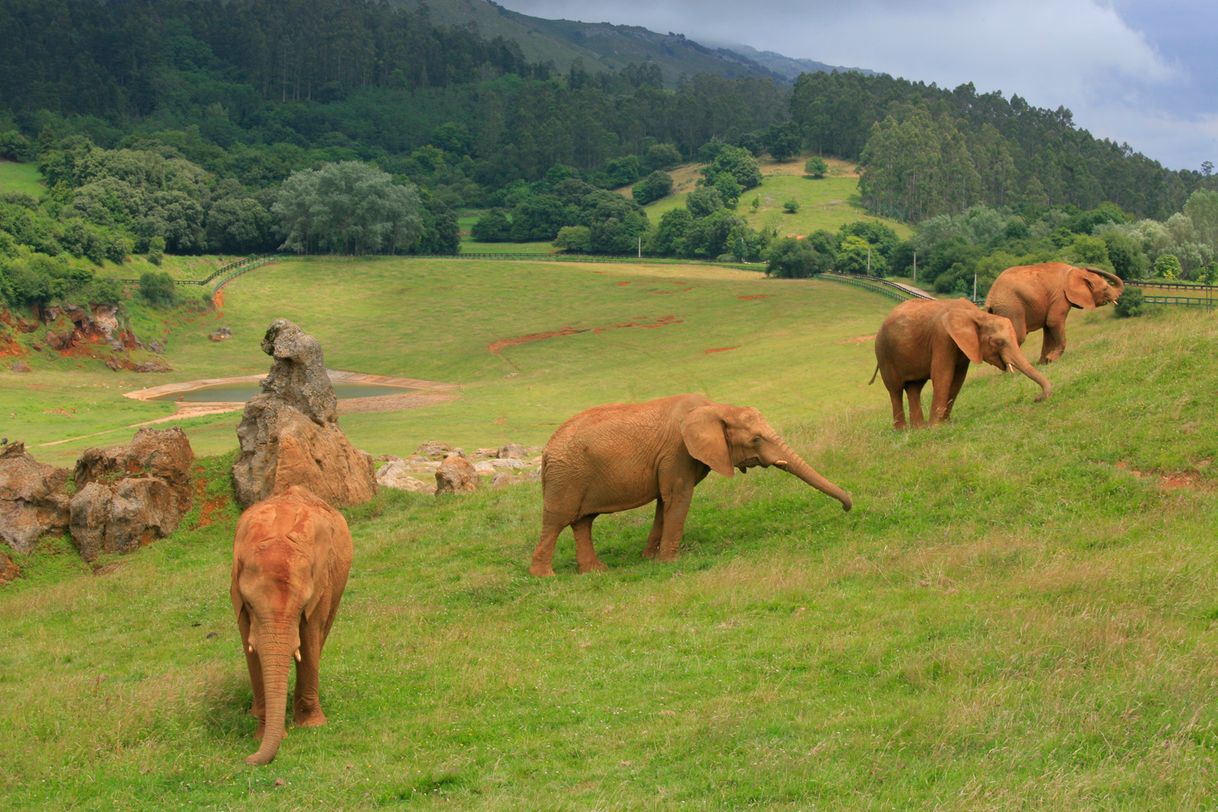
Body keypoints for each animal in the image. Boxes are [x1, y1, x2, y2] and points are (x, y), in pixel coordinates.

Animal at [228, 489, 353, 769]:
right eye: (250, 605)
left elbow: (309, 639)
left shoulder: (320, 586)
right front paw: (262, 733)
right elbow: (251, 650)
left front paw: (312, 726)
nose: (247, 759)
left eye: (302, 606)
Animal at [528, 394, 852, 577]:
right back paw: (545, 577)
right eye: (756, 439)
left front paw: (650, 558)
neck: (717, 407)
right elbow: (678, 497)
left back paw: (595, 572)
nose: (848, 507)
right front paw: (670, 563)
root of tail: (545, 451)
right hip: (566, 476)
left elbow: (665, 503)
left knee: (583, 521)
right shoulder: (677, 452)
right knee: (557, 521)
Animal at [872, 295, 1052, 428]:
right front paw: (936, 427)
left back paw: (919, 429)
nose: (1036, 398)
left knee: (914, 387)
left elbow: (958, 379)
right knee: (895, 389)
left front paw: (944, 423)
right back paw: (903, 430)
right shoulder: (942, 337)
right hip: (884, 353)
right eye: (998, 342)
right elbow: (943, 375)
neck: (976, 314)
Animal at [979, 261, 1120, 362]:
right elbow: (1054, 322)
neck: (1074, 272)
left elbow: (1047, 327)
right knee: (1017, 336)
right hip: (1011, 308)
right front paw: (1052, 359)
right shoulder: (1060, 297)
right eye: (1105, 289)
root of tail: (990, 296)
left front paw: (1044, 362)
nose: (1088, 266)